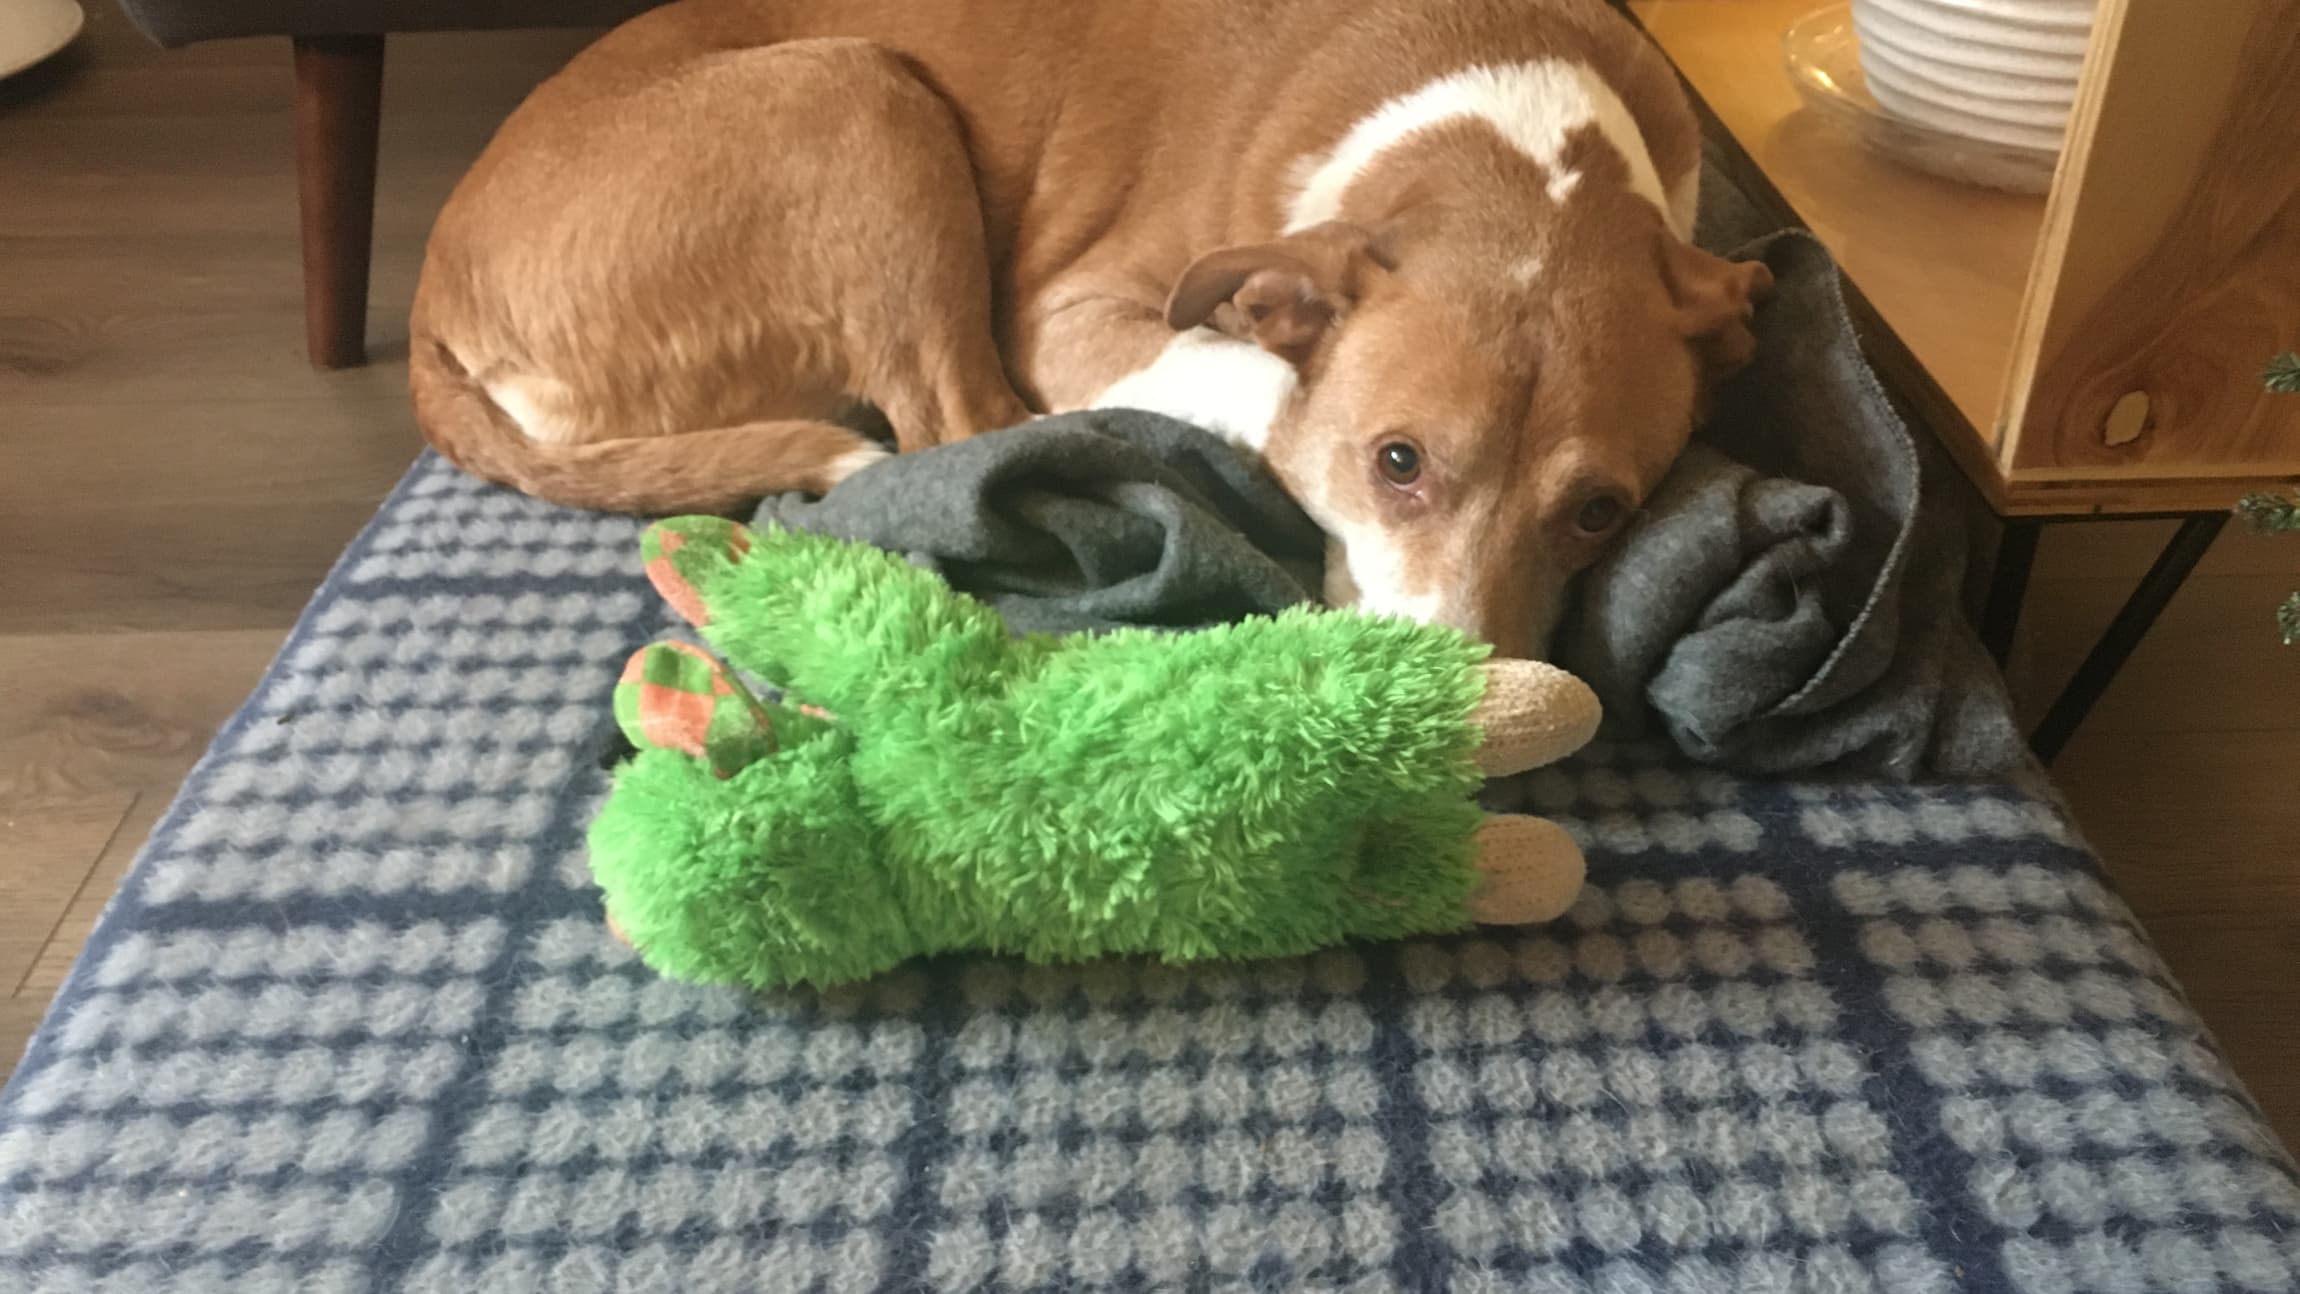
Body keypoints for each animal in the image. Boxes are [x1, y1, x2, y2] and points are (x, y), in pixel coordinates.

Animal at [414, 0, 1766, 657]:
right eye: (1397, 463)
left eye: (1599, 511)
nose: (1477, 690)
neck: (1503, 124)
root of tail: (436, 295)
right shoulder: (1081, 309)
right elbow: (1252, 376)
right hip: (857, 94)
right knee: (961, 420)